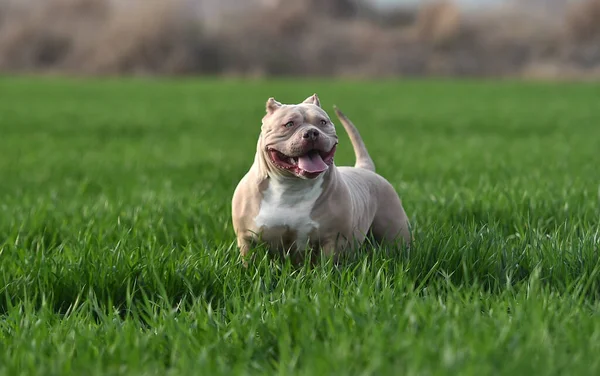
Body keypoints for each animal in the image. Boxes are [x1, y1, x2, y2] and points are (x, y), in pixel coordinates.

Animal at [231, 94, 412, 264]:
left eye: (323, 122)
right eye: (289, 124)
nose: (311, 133)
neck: (292, 186)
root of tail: (364, 168)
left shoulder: (333, 240)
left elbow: (328, 266)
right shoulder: (247, 239)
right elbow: (249, 261)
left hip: (394, 226)